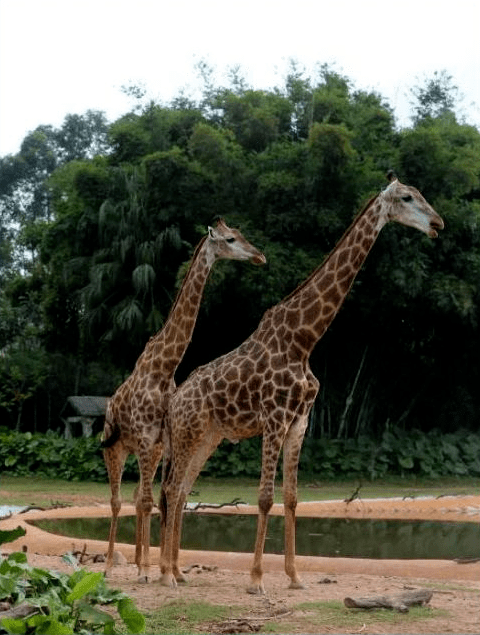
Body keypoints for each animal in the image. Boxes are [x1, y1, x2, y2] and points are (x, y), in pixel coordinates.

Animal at [101, 219, 266, 580]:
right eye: (230, 239)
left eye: (242, 235)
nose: (259, 256)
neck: (165, 367)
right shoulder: (146, 440)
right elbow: (151, 499)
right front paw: (149, 572)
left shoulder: (160, 443)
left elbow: (159, 498)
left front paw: (152, 568)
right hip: (114, 449)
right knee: (117, 500)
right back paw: (108, 567)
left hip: (146, 451)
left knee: (137, 496)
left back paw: (140, 560)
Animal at [159, 175, 444, 596]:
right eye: (407, 198)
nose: (438, 223)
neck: (304, 339)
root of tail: (175, 400)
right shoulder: (274, 418)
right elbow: (264, 498)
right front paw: (256, 579)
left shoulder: (300, 422)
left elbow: (292, 498)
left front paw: (294, 577)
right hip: (187, 433)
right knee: (170, 490)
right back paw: (165, 572)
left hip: (208, 436)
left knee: (179, 492)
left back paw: (177, 571)